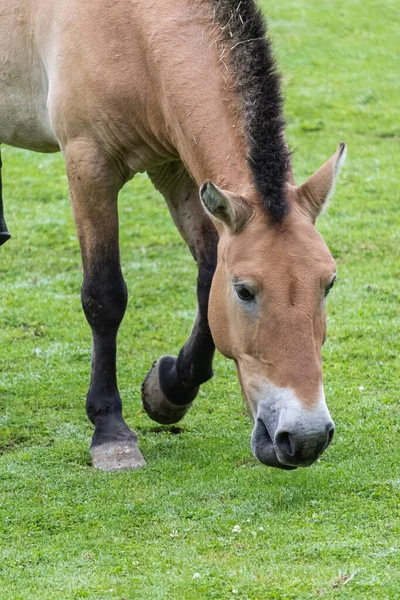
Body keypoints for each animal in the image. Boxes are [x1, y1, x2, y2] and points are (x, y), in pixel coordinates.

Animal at [0, 0, 346, 472]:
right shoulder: (89, 164)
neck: (132, 29)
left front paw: (169, 389)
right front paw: (110, 431)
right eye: (244, 291)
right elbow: (104, 296)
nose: (306, 438)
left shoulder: (176, 166)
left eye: (328, 284)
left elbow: (205, 277)